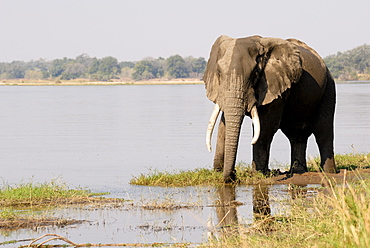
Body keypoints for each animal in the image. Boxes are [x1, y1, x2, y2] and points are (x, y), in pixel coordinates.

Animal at [204, 34, 336, 182]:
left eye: (255, 74)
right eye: (219, 73)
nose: (234, 175)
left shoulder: (275, 86)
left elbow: (265, 127)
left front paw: (258, 174)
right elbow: (224, 124)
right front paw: (219, 171)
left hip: (328, 89)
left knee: (323, 132)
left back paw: (329, 173)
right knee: (296, 135)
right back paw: (298, 171)